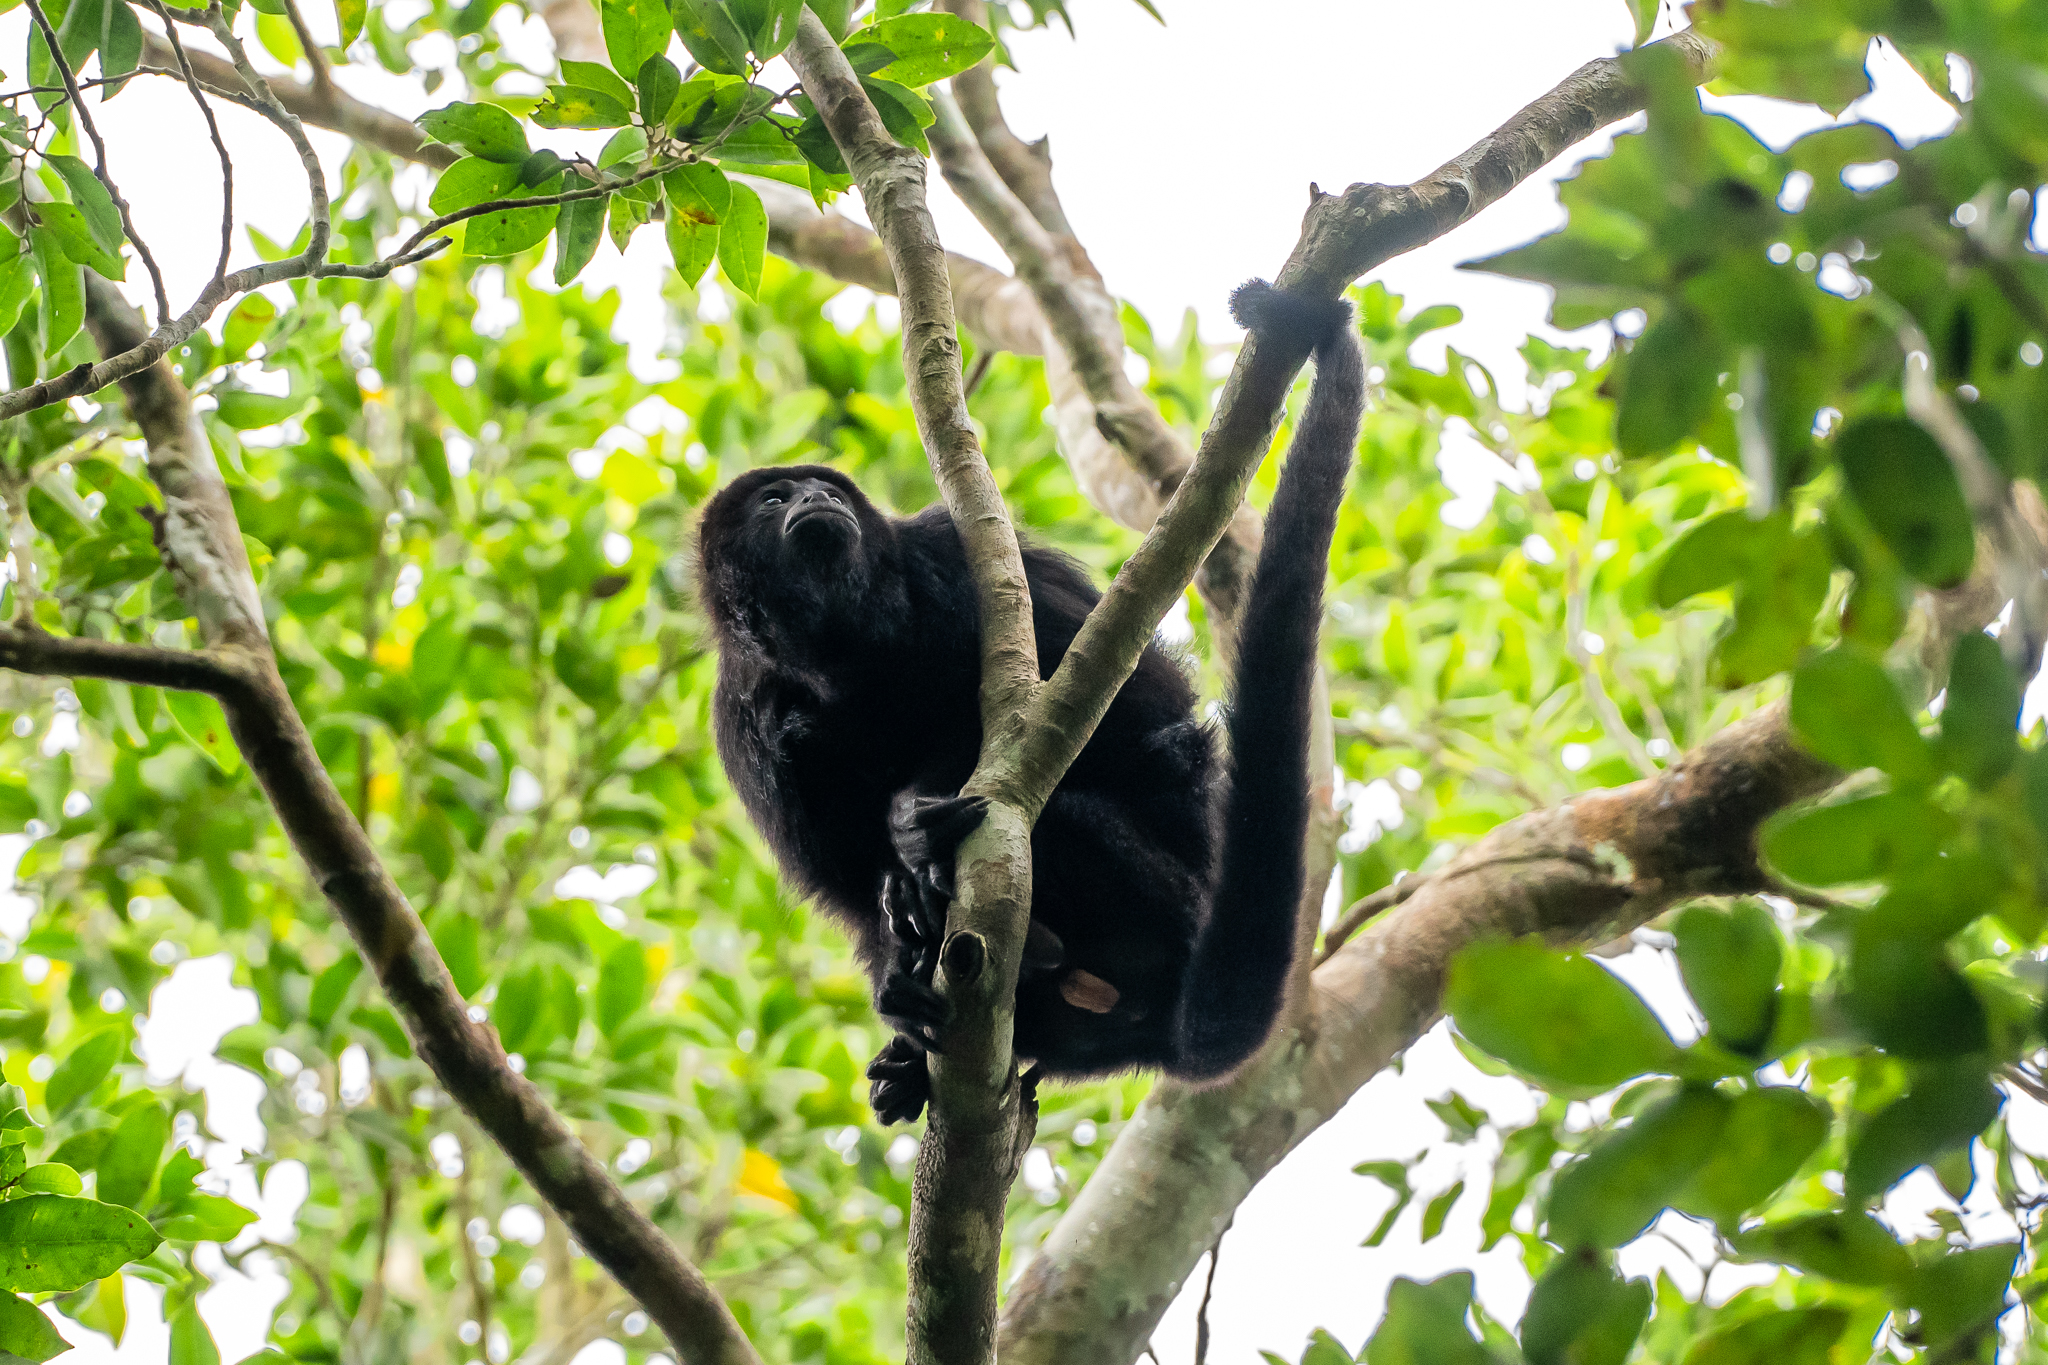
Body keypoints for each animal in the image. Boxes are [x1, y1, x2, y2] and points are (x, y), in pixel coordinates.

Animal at [696, 281, 1364, 1123]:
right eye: (775, 497)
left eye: (825, 487)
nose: (816, 495)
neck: (845, 647)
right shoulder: (740, 715)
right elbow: (840, 870)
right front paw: (896, 894)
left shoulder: (949, 556)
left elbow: (1136, 718)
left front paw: (914, 823)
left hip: (1170, 897)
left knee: (1060, 812)